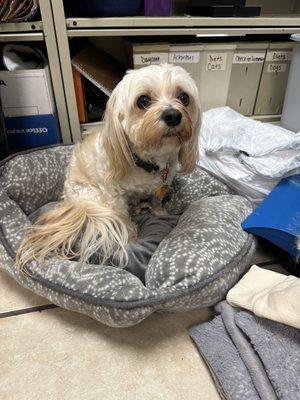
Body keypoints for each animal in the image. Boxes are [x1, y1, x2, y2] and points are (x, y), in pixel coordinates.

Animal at [15, 64, 199, 270]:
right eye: (143, 101)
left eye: (184, 98)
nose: (173, 115)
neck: (146, 162)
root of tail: (73, 202)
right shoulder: (113, 196)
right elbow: (122, 218)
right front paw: (132, 237)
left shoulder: (160, 186)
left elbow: (156, 200)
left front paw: (159, 212)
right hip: (92, 196)